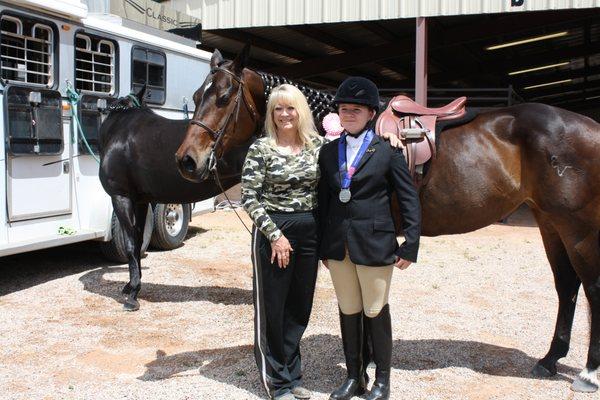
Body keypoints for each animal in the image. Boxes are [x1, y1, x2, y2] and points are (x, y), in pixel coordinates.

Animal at [176, 46, 600, 390]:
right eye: (196, 96)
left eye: (224, 97)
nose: (186, 161)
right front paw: (363, 370)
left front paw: (365, 373)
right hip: (549, 223)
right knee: (566, 286)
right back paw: (549, 360)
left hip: (577, 229)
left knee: (591, 288)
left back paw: (588, 374)